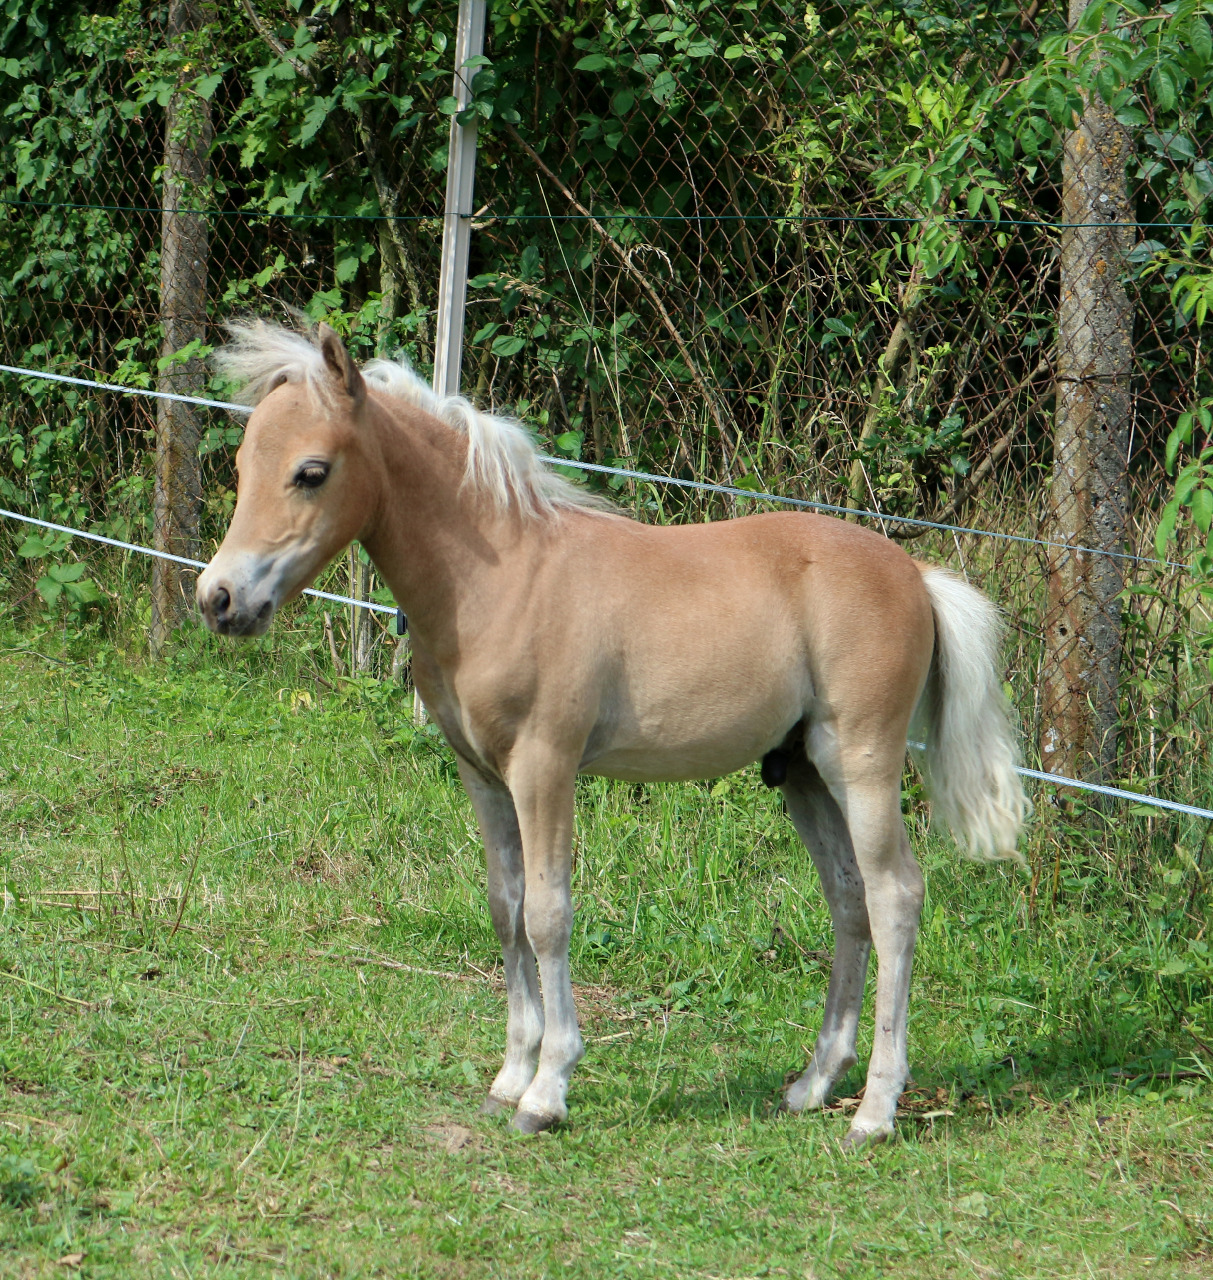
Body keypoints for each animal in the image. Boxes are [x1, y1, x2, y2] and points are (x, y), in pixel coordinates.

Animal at [197, 319, 1029, 1148]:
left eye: (310, 471)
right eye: (242, 465)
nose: (219, 598)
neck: (500, 578)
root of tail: (915, 574)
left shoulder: (544, 766)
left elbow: (546, 915)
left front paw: (546, 1090)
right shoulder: (480, 773)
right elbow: (503, 906)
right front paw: (508, 1076)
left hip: (860, 761)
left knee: (894, 897)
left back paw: (874, 1111)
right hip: (801, 772)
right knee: (848, 899)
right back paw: (813, 1084)